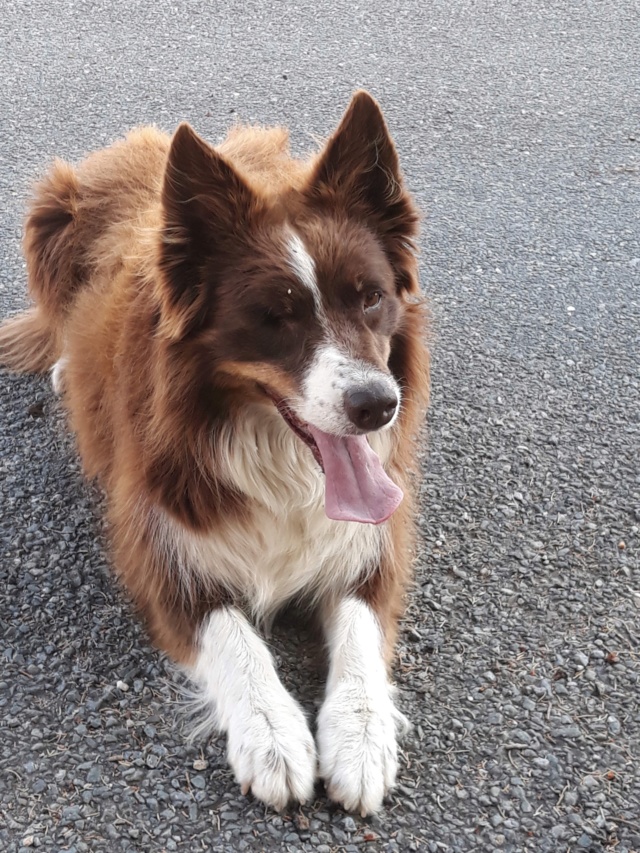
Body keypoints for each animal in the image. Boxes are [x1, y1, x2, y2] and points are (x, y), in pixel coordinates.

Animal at [1, 90, 430, 816]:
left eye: (371, 296)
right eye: (274, 316)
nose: (377, 404)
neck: (274, 456)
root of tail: (142, 143)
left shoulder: (372, 541)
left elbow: (361, 628)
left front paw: (361, 738)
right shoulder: (156, 542)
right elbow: (233, 635)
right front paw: (274, 736)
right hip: (49, 216)